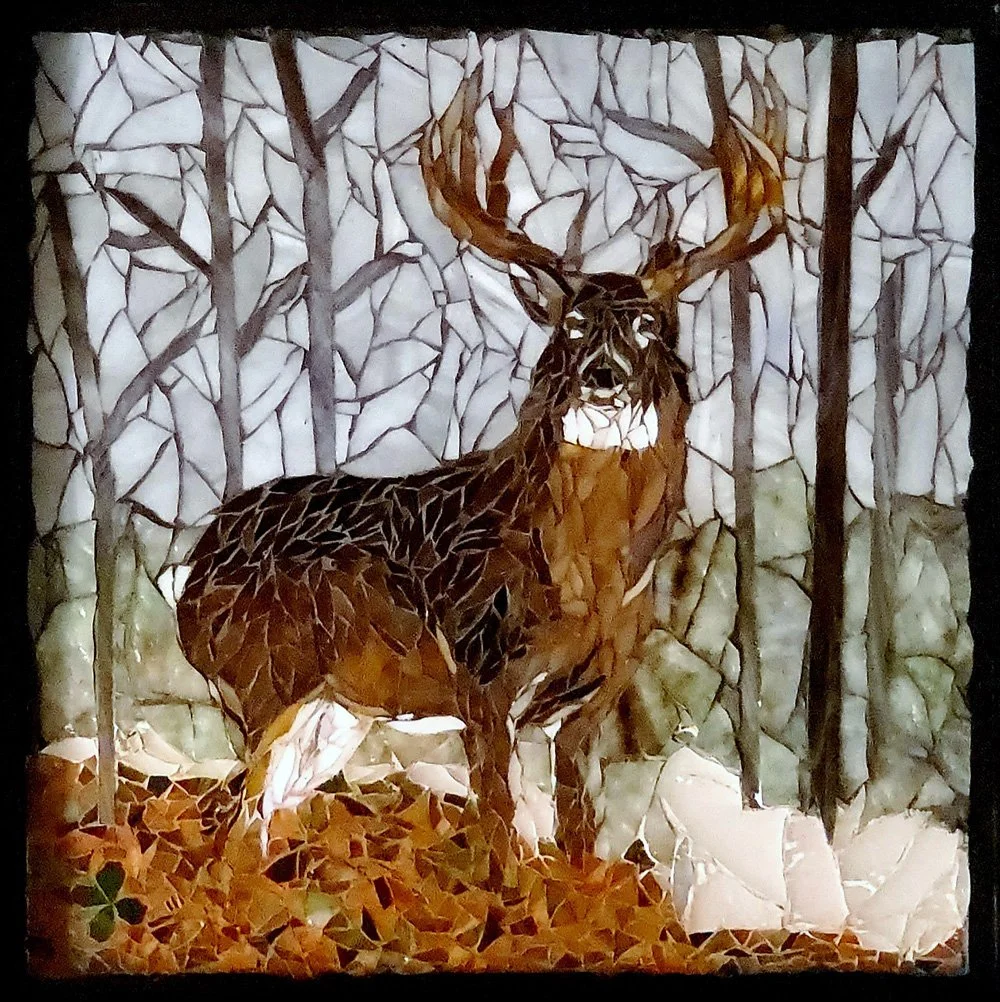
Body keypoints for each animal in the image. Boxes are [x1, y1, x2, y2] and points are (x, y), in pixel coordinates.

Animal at [172, 61, 786, 861]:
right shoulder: (482, 671)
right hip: (264, 678)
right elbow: (497, 822)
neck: (589, 575)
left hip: (334, 709)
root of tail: (193, 566)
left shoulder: (595, 691)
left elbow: (575, 826)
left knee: (259, 817)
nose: (602, 377)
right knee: (229, 822)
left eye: (650, 325)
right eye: (573, 325)